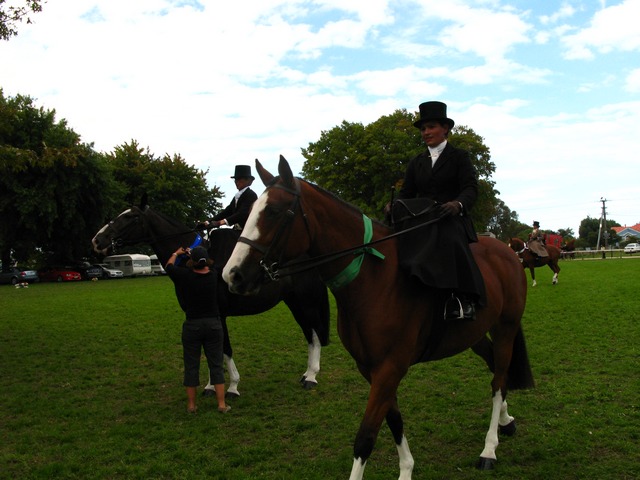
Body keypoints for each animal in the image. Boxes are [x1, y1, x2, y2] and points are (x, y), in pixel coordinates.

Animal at [92, 202, 332, 398]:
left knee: (315, 334)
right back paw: (306, 374)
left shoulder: (218, 314)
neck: (195, 258)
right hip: (294, 303)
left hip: (307, 302)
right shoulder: (200, 314)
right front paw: (210, 386)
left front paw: (232, 387)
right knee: (309, 334)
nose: (97, 240)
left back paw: (312, 377)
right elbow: (211, 351)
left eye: (130, 217)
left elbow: (224, 349)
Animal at [222, 156, 532, 478]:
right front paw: (406, 469)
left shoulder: (389, 369)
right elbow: (394, 421)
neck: (374, 277)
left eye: (273, 211)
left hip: (505, 328)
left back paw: (489, 448)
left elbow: (366, 437)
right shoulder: (371, 368)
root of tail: (507, 252)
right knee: (496, 369)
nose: (233, 275)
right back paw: (506, 422)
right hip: (474, 335)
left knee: (498, 380)